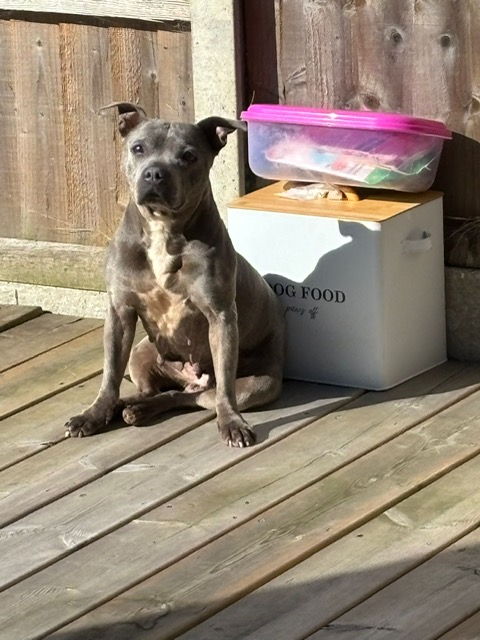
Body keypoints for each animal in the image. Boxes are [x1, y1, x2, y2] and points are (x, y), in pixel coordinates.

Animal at [65, 103, 285, 447]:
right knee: (152, 389)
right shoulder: (120, 312)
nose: (155, 173)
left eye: (189, 156)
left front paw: (233, 423)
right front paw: (95, 414)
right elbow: (110, 372)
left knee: (192, 396)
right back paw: (129, 406)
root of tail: (190, 377)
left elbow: (224, 387)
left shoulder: (220, 315)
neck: (162, 229)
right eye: (137, 148)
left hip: (257, 385)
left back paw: (143, 408)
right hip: (140, 353)